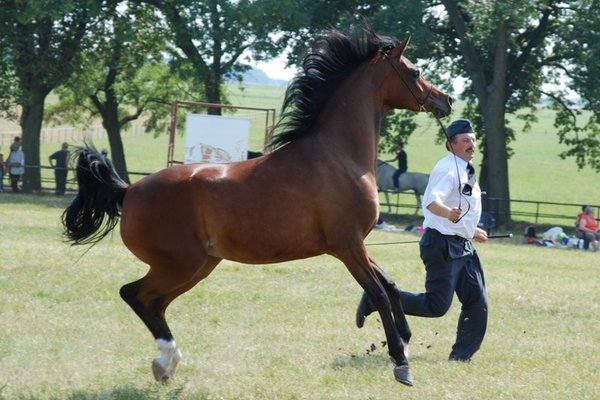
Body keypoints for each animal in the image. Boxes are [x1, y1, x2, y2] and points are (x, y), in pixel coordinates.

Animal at [63, 26, 452, 386]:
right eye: (415, 71)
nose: (445, 100)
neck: (339, 155)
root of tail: (129, 190)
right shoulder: (346, 245)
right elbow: (379, 293)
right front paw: (400, 362)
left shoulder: (357, 244)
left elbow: (390, 284)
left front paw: (405, 340)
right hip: (179, 264)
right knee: (135, 295)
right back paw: (166, 360)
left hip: (198, 265)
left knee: (152, 302)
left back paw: (166, 366)